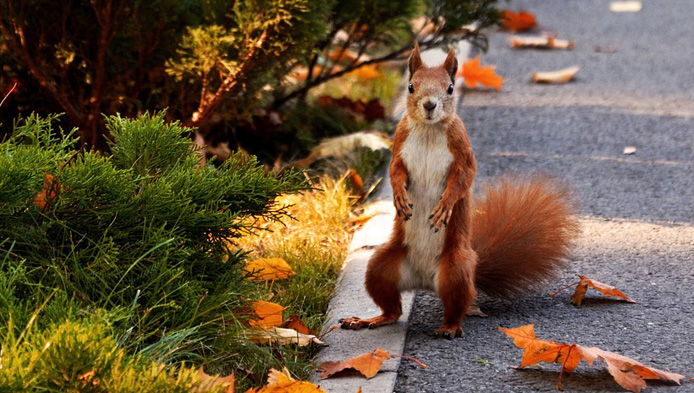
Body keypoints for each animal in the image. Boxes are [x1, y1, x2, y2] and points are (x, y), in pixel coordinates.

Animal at [340, 42, 580, 336]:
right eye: (411, 86)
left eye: (450, 88)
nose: (429, 105)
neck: (429, 130)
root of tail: (424, 281)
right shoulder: (399, 147)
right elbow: (395, 172)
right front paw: (399, 197)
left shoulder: (463, 152)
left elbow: (463, 179)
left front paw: (445, 206)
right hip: (381, 267)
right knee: (393, 310)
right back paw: (369, 320)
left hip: (455, 269)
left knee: (457, 305)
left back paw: (449, 327)